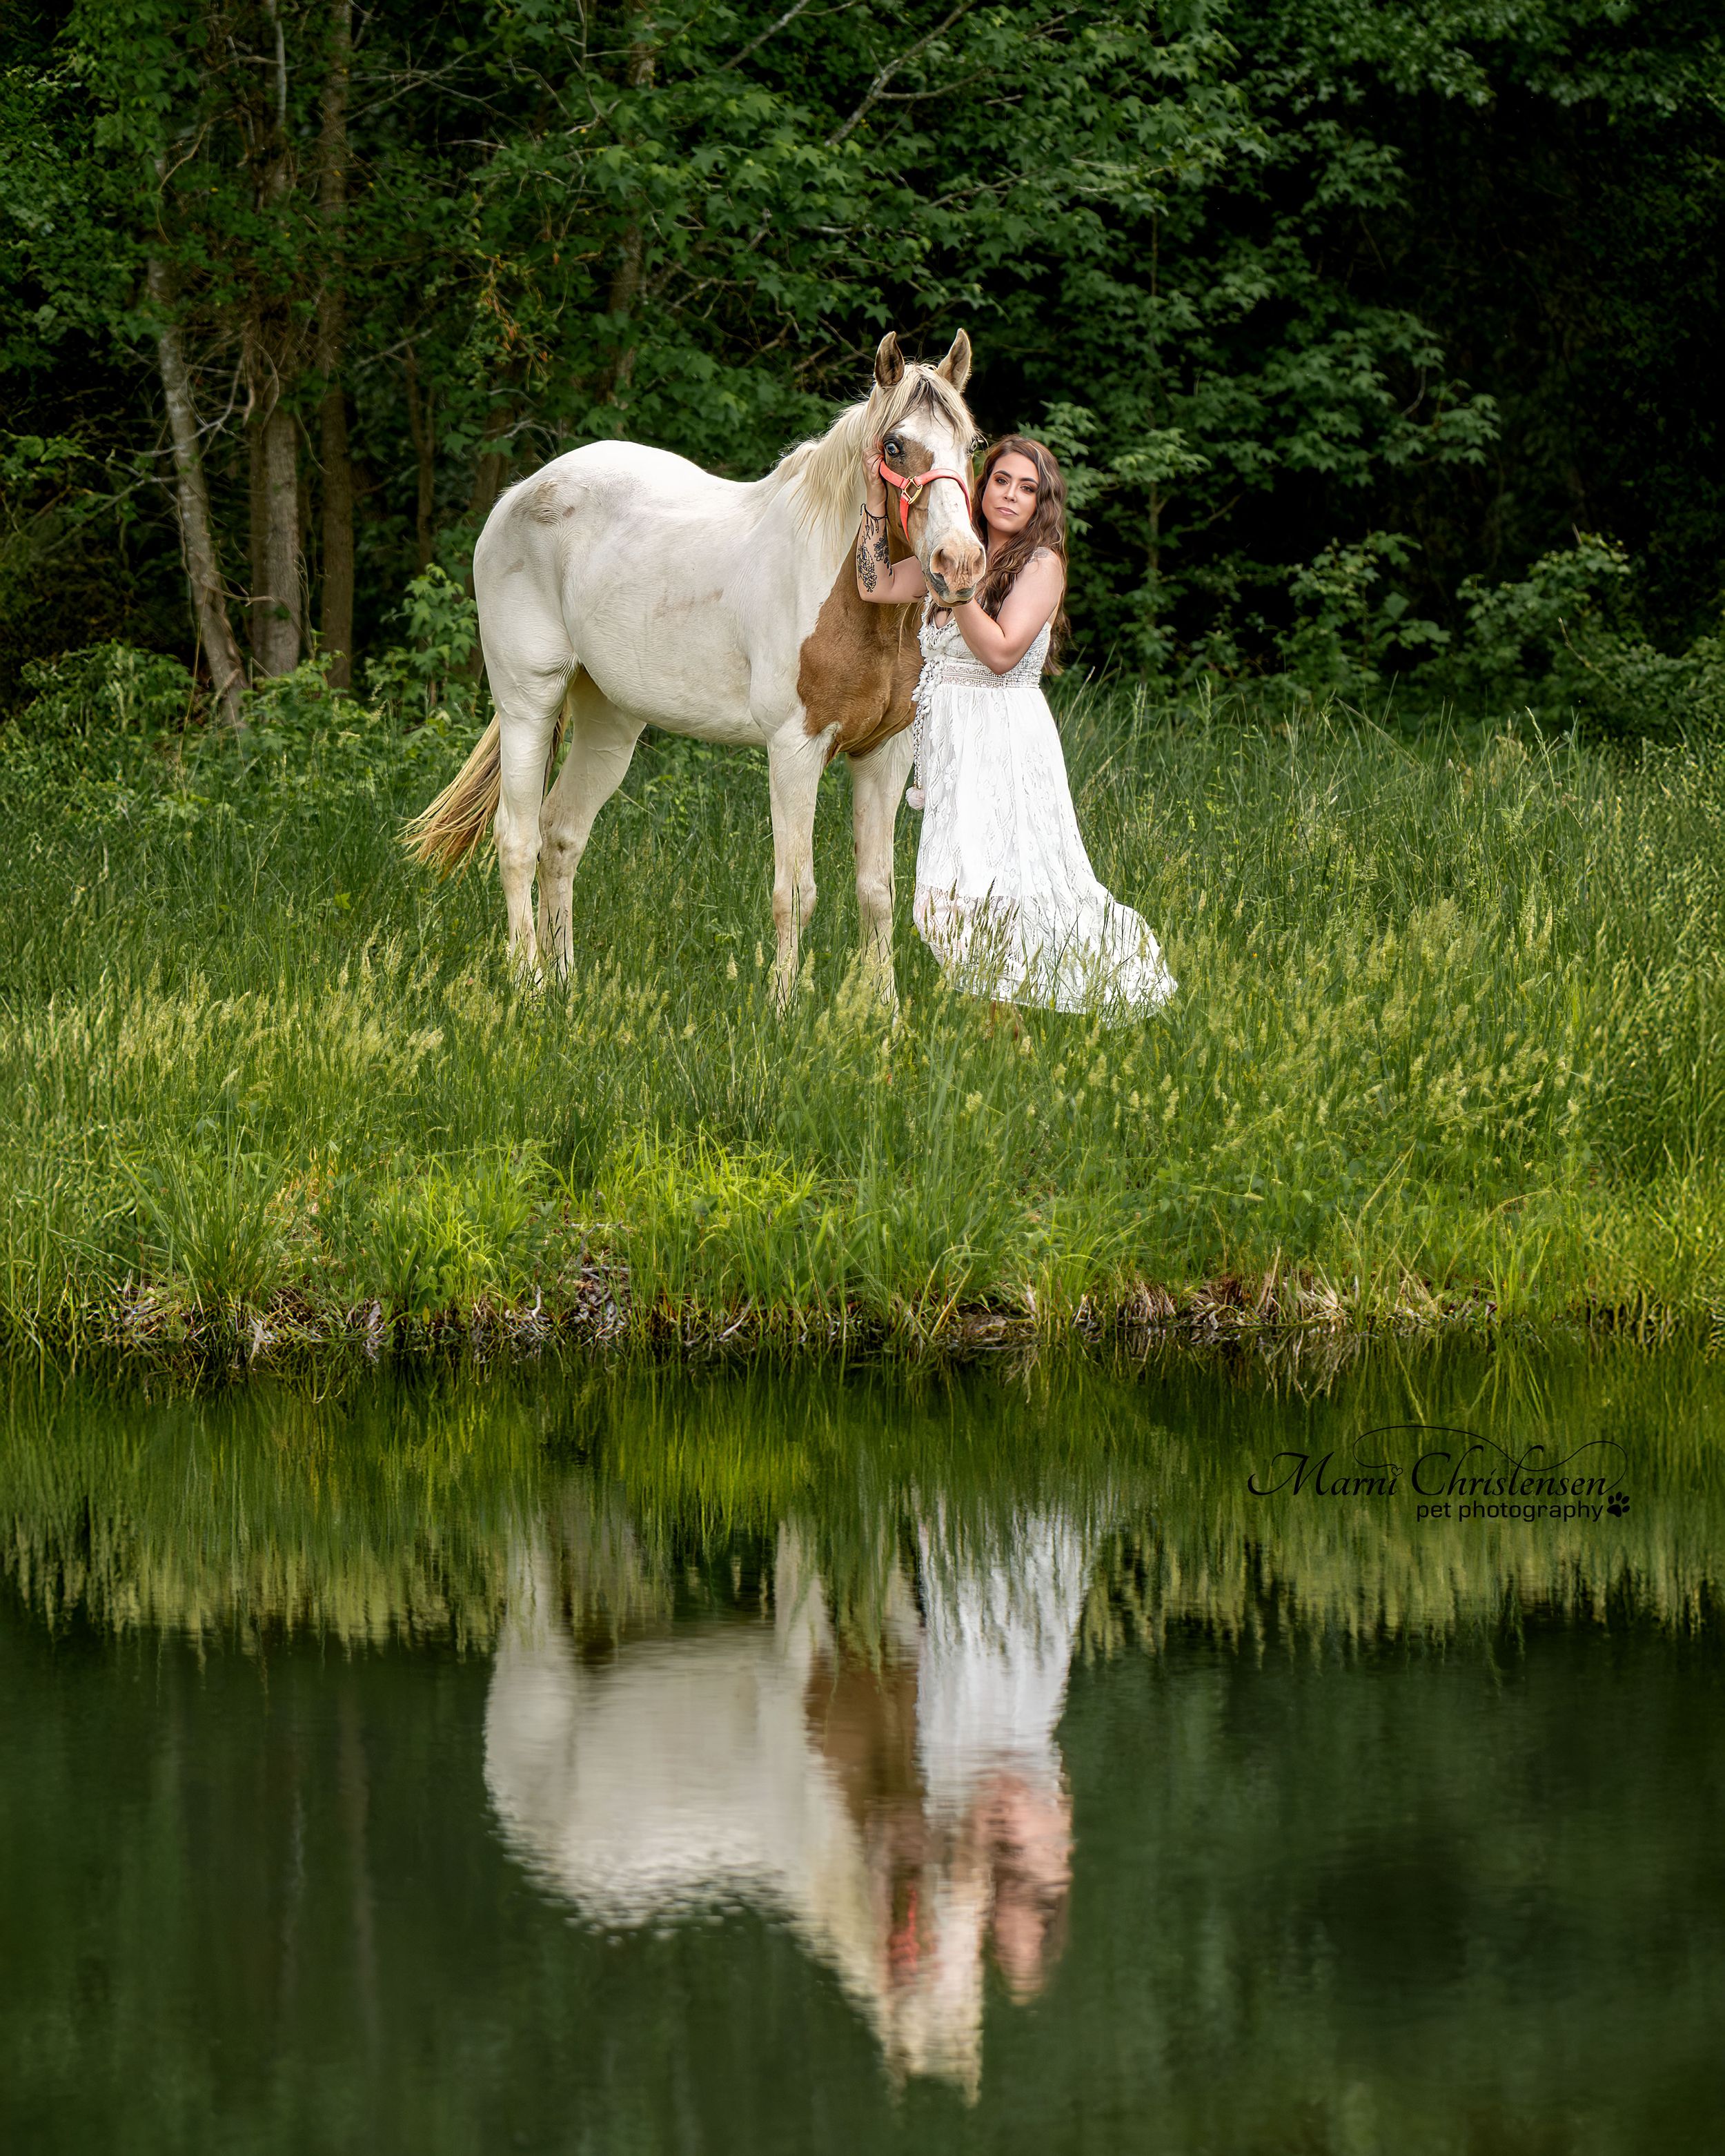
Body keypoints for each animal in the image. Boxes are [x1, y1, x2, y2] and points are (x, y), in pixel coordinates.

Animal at [404, 330, 987, 1004]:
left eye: (971, 444)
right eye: (894, 445)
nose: (959, 562)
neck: (854, 596)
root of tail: (516, 497)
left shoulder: (883, 754)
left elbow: (877, 894)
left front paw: (881, 1015)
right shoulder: (795, 749)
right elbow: (795, 893)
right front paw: (785, 1008)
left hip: (610, 722)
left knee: (562, 834)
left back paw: (565, 984)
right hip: (528, 702)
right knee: (518, 838)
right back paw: (528, 982)